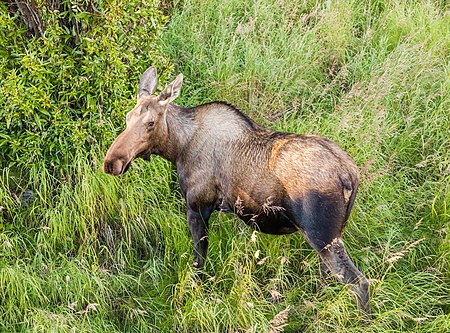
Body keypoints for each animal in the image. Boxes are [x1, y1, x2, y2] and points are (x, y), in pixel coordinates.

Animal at [103, 67, 370, 314]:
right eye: (127, 117)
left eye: (150, 122)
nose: (112, 162)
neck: (177, 147)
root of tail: (351, 176)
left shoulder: (197, 207)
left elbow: (199, 262)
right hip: (329, 236)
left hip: (322, 235)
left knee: (360, 283)